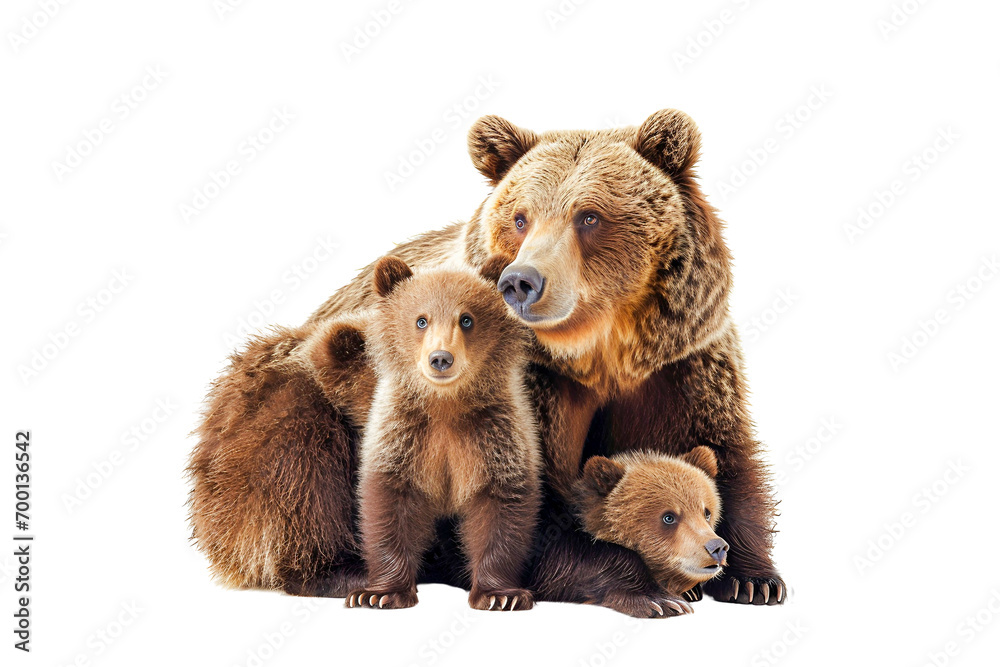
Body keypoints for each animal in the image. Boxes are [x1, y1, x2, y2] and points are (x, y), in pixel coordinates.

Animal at [340, 256, 542, 611]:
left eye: (466, 319)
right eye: (421, 320)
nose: (441, 358)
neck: (445, 405)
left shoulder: (495, 435)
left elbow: (501, 508)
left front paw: (501, 595)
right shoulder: (404, 435)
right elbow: (388, 506)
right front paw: (376, 593)